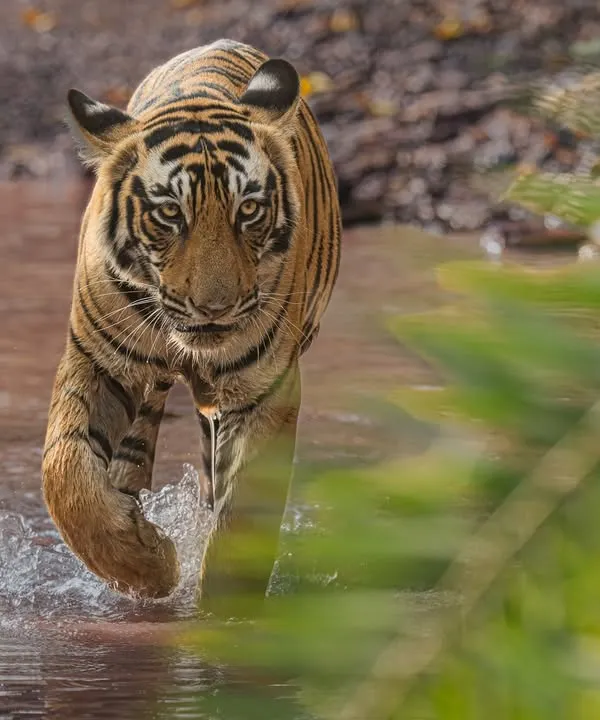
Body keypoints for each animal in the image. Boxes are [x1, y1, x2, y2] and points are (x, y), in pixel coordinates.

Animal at [41, 39, 341, 614]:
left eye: (249, 209)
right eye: (169, 214)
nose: (214, 308)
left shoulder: (265, 387)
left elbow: (243, 513)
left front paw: (225, 614)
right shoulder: (96, 358)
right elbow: (65, 474)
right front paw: (147, 566)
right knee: (130, 452)